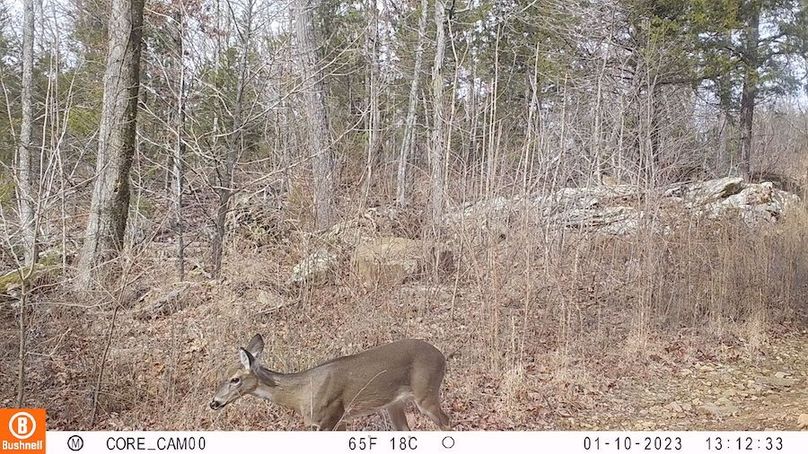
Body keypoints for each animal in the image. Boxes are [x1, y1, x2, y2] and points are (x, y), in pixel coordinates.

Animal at [209, 334, 451, 431]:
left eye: (235, 379)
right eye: (223, 374)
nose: (214, 402)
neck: (300, 394)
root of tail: (441, 356)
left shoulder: (330, 415)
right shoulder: (339, 420)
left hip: (426, 392)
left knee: (446, 421)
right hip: (394, 404)